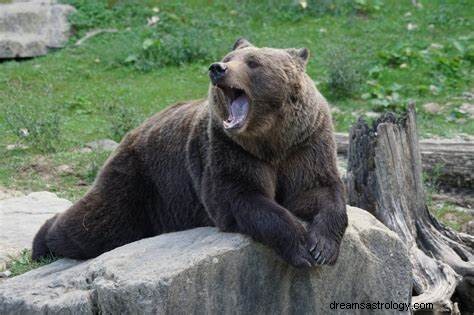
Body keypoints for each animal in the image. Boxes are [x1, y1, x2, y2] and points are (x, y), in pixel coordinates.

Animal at [31, 38, 346, 268]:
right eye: (229, 58)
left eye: (253, 62)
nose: (217, 68)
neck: (270, 140)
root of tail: (134, 131)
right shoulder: (228, 150)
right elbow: (242, 197)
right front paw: (300, 247)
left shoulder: (305, 143)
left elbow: (318, 190)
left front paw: (322, 248)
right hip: (142, 180)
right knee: (98, 224)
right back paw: (42, 243)